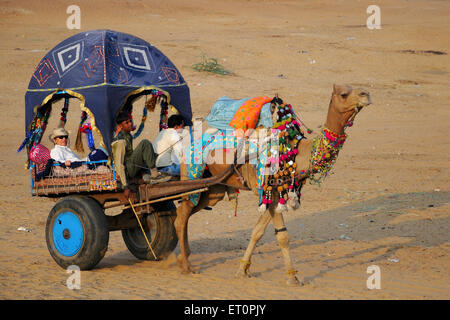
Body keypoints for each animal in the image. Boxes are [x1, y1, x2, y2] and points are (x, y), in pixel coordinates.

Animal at [174, 84, 370, 284]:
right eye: (344, 94)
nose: (366, 95)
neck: (297, 153)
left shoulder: (275, 194)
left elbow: (260, 231)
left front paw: (245, 269)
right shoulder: (271, 191)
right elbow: (281, 235)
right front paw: (291, 278)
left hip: (213, 189)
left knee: (186, 212)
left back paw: (183, 257)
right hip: (191, 174)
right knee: (181, 216)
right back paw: (186, 267)